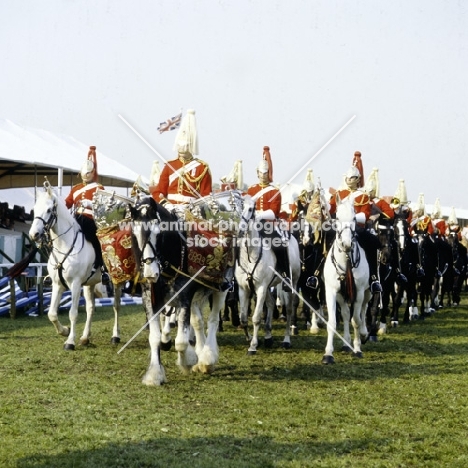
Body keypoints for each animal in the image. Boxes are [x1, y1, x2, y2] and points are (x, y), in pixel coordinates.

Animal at [28, 183, 123, 352]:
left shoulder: (75, 284)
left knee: (116, 306)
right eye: (34, 209)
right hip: (89, 285)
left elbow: (73, 313)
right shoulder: (57, 284)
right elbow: (52, 313)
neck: (64, 244)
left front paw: (70, 341)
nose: (34, 235)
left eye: (49, 210)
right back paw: (85, 337)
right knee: (91, 308)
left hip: (116, 281)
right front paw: (65, 331)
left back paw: (115, 336)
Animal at [236, 197, 302, 354]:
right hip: (268, 287)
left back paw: (286, 340)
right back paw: (268, 337)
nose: (240, 230)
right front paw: (249, 338)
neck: (250, 255)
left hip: (292, 282)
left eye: (251, 209)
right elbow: (243, 318)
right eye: (239, 207)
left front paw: (253, 345)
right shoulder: (243, 289)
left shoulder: (260, 288)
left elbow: (256, 318)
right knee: (271, 304)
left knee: (289, 309)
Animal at [320, 196, 372, 364]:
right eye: (336, 217)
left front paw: (357, 349)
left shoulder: (359, 291)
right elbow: (333, 322)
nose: (347, 244)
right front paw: (328, 354)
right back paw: (346, 343)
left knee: (363, 309)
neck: (347, 260)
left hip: (367, 292)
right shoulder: (331, 291)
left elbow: (356, 320)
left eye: (354, 218)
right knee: (345, 312)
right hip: (342, 295)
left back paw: (363, 334)